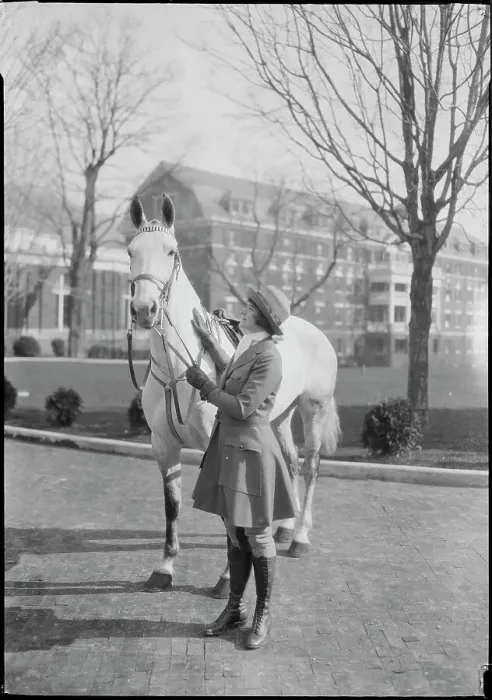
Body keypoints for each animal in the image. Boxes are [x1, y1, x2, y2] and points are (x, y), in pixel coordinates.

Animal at [128, 192, 341, 596]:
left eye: (171, 251)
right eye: (131, 250)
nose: (144, 309)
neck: (179, 368)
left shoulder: (220, 446)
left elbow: (230, 511)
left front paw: (228, 579)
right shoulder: (163, 445)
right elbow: (172, 508)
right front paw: (164, 568)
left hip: (313, 409)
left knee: (311, 466)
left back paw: (300, 537)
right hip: (279, 417)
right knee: (290, 461)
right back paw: (284, 527)